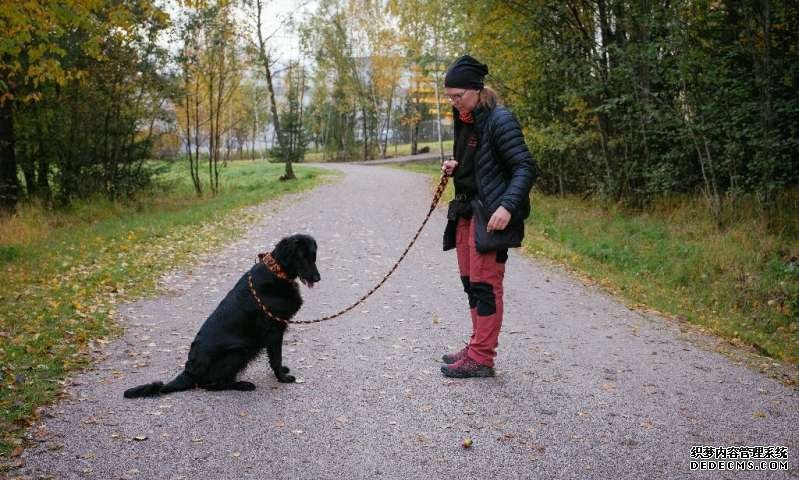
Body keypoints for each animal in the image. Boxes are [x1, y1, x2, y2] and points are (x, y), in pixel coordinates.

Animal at [123, 233, 320, 398]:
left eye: (314, 257)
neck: (276, 272)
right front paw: (282, 378)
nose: (317, 278)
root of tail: (190, 371)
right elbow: (276, 357)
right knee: (213, 385)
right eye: (302, 257)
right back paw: (243, 385)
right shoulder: (273, 330)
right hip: (239, 350)